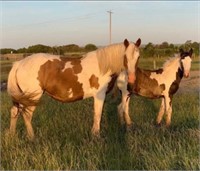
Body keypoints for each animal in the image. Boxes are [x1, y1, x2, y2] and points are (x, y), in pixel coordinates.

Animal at [7, 38, 141, 140]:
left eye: (138, 57)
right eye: (125, 57)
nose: (132, 78)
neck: (103, 65)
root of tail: (19, 64)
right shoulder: (100, 95)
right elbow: (97, 115)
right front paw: (96, 136)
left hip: (23, 97)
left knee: (15, 112)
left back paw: (12, 135)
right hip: (32, 97)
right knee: (27, 115)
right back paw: (32, 137)